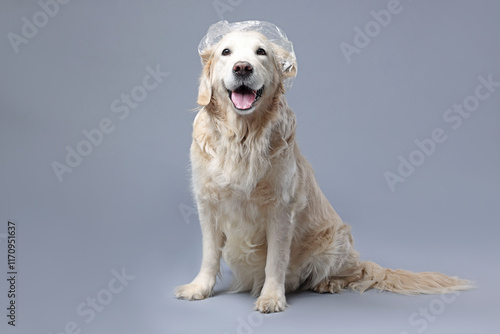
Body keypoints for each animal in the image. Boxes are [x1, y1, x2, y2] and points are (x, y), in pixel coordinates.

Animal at [176, 20, 472, 314]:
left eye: (261, 52)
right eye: (226, 52)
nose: (242, 68)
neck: (242, 137)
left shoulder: (281, 209)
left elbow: (276, 259)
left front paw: (272, 296)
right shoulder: (208, 204)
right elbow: (209, 254)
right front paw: (199, 288)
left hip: (336, 239)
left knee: (353, 273)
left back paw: (329, 283)